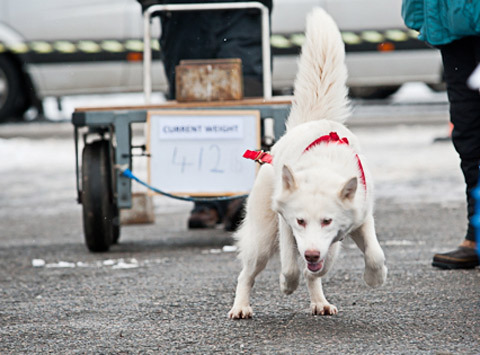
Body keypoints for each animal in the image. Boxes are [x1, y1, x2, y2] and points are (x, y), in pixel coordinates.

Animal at [227, 7, 388, 320]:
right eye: (300, 220)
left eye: (327, 220)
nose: (312, 253)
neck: (322, 168)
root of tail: (311, 121)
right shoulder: (287, 225)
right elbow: (290, 265)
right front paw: (286, 284)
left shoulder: (359, 220)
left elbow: (374, 254)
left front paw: (375, 277)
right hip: (262, 241)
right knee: (246, 274)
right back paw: (241, 307)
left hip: (329, 246)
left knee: (316, 272)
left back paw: (319, 301)